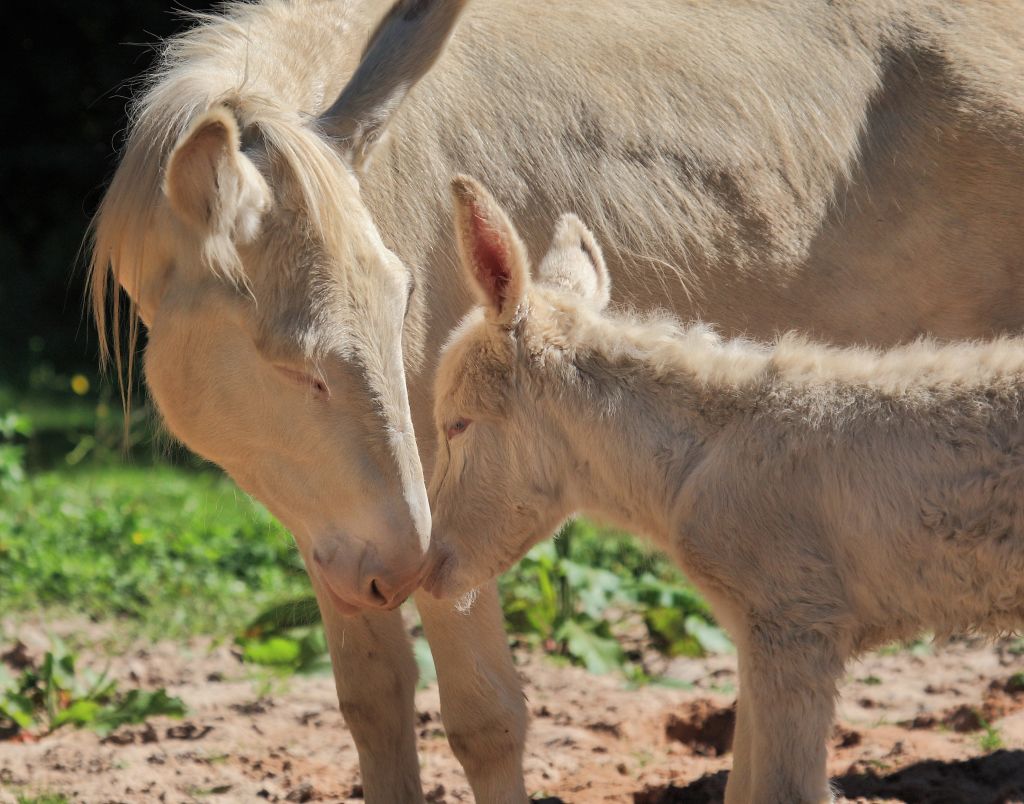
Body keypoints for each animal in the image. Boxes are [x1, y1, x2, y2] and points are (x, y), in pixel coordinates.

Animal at [421, 177, 1024, 802]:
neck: (700, 456)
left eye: (456, 424)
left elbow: (785, 790)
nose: (428, 570)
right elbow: (744, 784)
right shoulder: (756, 636)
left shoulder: (797, 623)